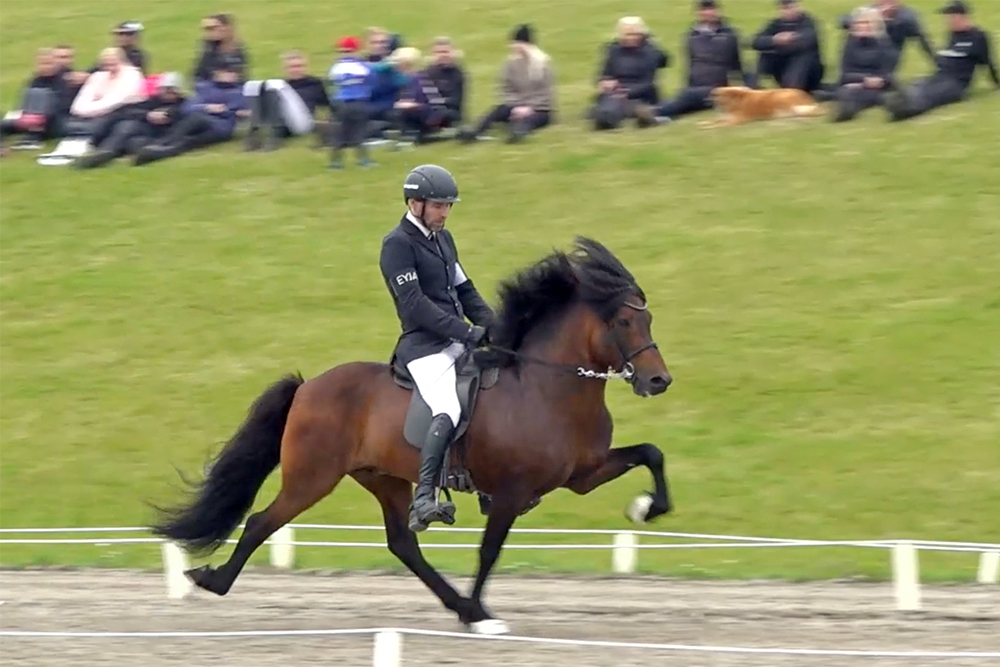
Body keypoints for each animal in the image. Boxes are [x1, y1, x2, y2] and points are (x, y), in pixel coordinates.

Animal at [152, 237, 676, 636]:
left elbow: (652, 453)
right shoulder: (511, 491)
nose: (658, 382)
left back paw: (458, 605)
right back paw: (211, 580)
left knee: (403, 544)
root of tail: (308, 386)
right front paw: (483, 617)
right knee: (263, 521)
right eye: (623, 322)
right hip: (312, 477)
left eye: (649, 319)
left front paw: (646, 508)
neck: (547, 388)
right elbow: (489, 551)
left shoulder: (583, 474)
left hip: (384, 478)